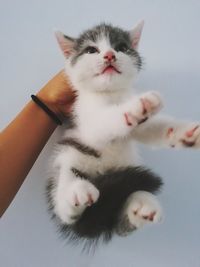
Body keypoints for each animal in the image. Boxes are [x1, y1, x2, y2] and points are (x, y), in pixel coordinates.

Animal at [46, 21, 200, 249]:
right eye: (91, 50)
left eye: (121, 47)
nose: (110, 55)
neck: (110, 96)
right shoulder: (86, 122)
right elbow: (106, 121)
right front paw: (136, 108)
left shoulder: (138, 129)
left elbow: (153, 128)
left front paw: (184, 133)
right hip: (64, 164)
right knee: (66, 210)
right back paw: (77, 193)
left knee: (120, 224)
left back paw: (140, 208)